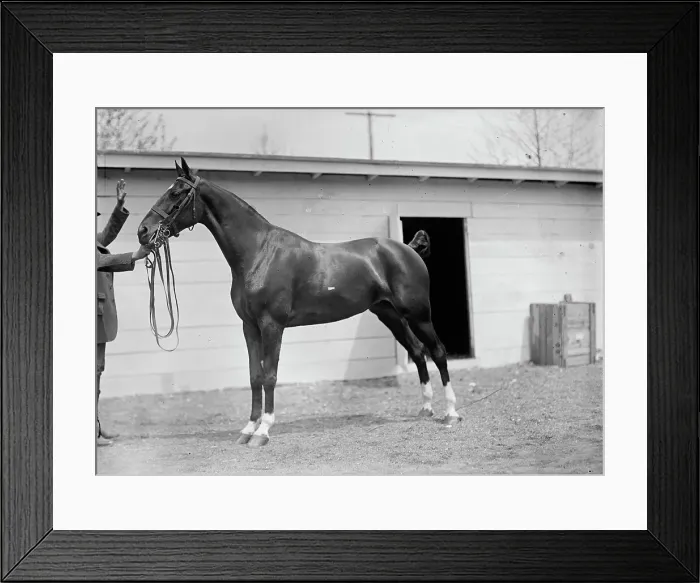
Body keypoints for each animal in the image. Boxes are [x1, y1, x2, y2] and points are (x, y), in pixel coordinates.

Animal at [137, 157, 461, 447]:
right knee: (418, 352)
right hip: (390, 314)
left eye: (177, 193)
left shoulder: (272, 326)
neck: (259, 252)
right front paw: (248, 429)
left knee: (438, 352)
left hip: (418, 314)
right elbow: (255, 376)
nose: (143, 231)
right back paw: (426, 409)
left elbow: (270, 376)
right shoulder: (249, 327)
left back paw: (451, 414)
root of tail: (408, 249)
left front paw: (263, 431)